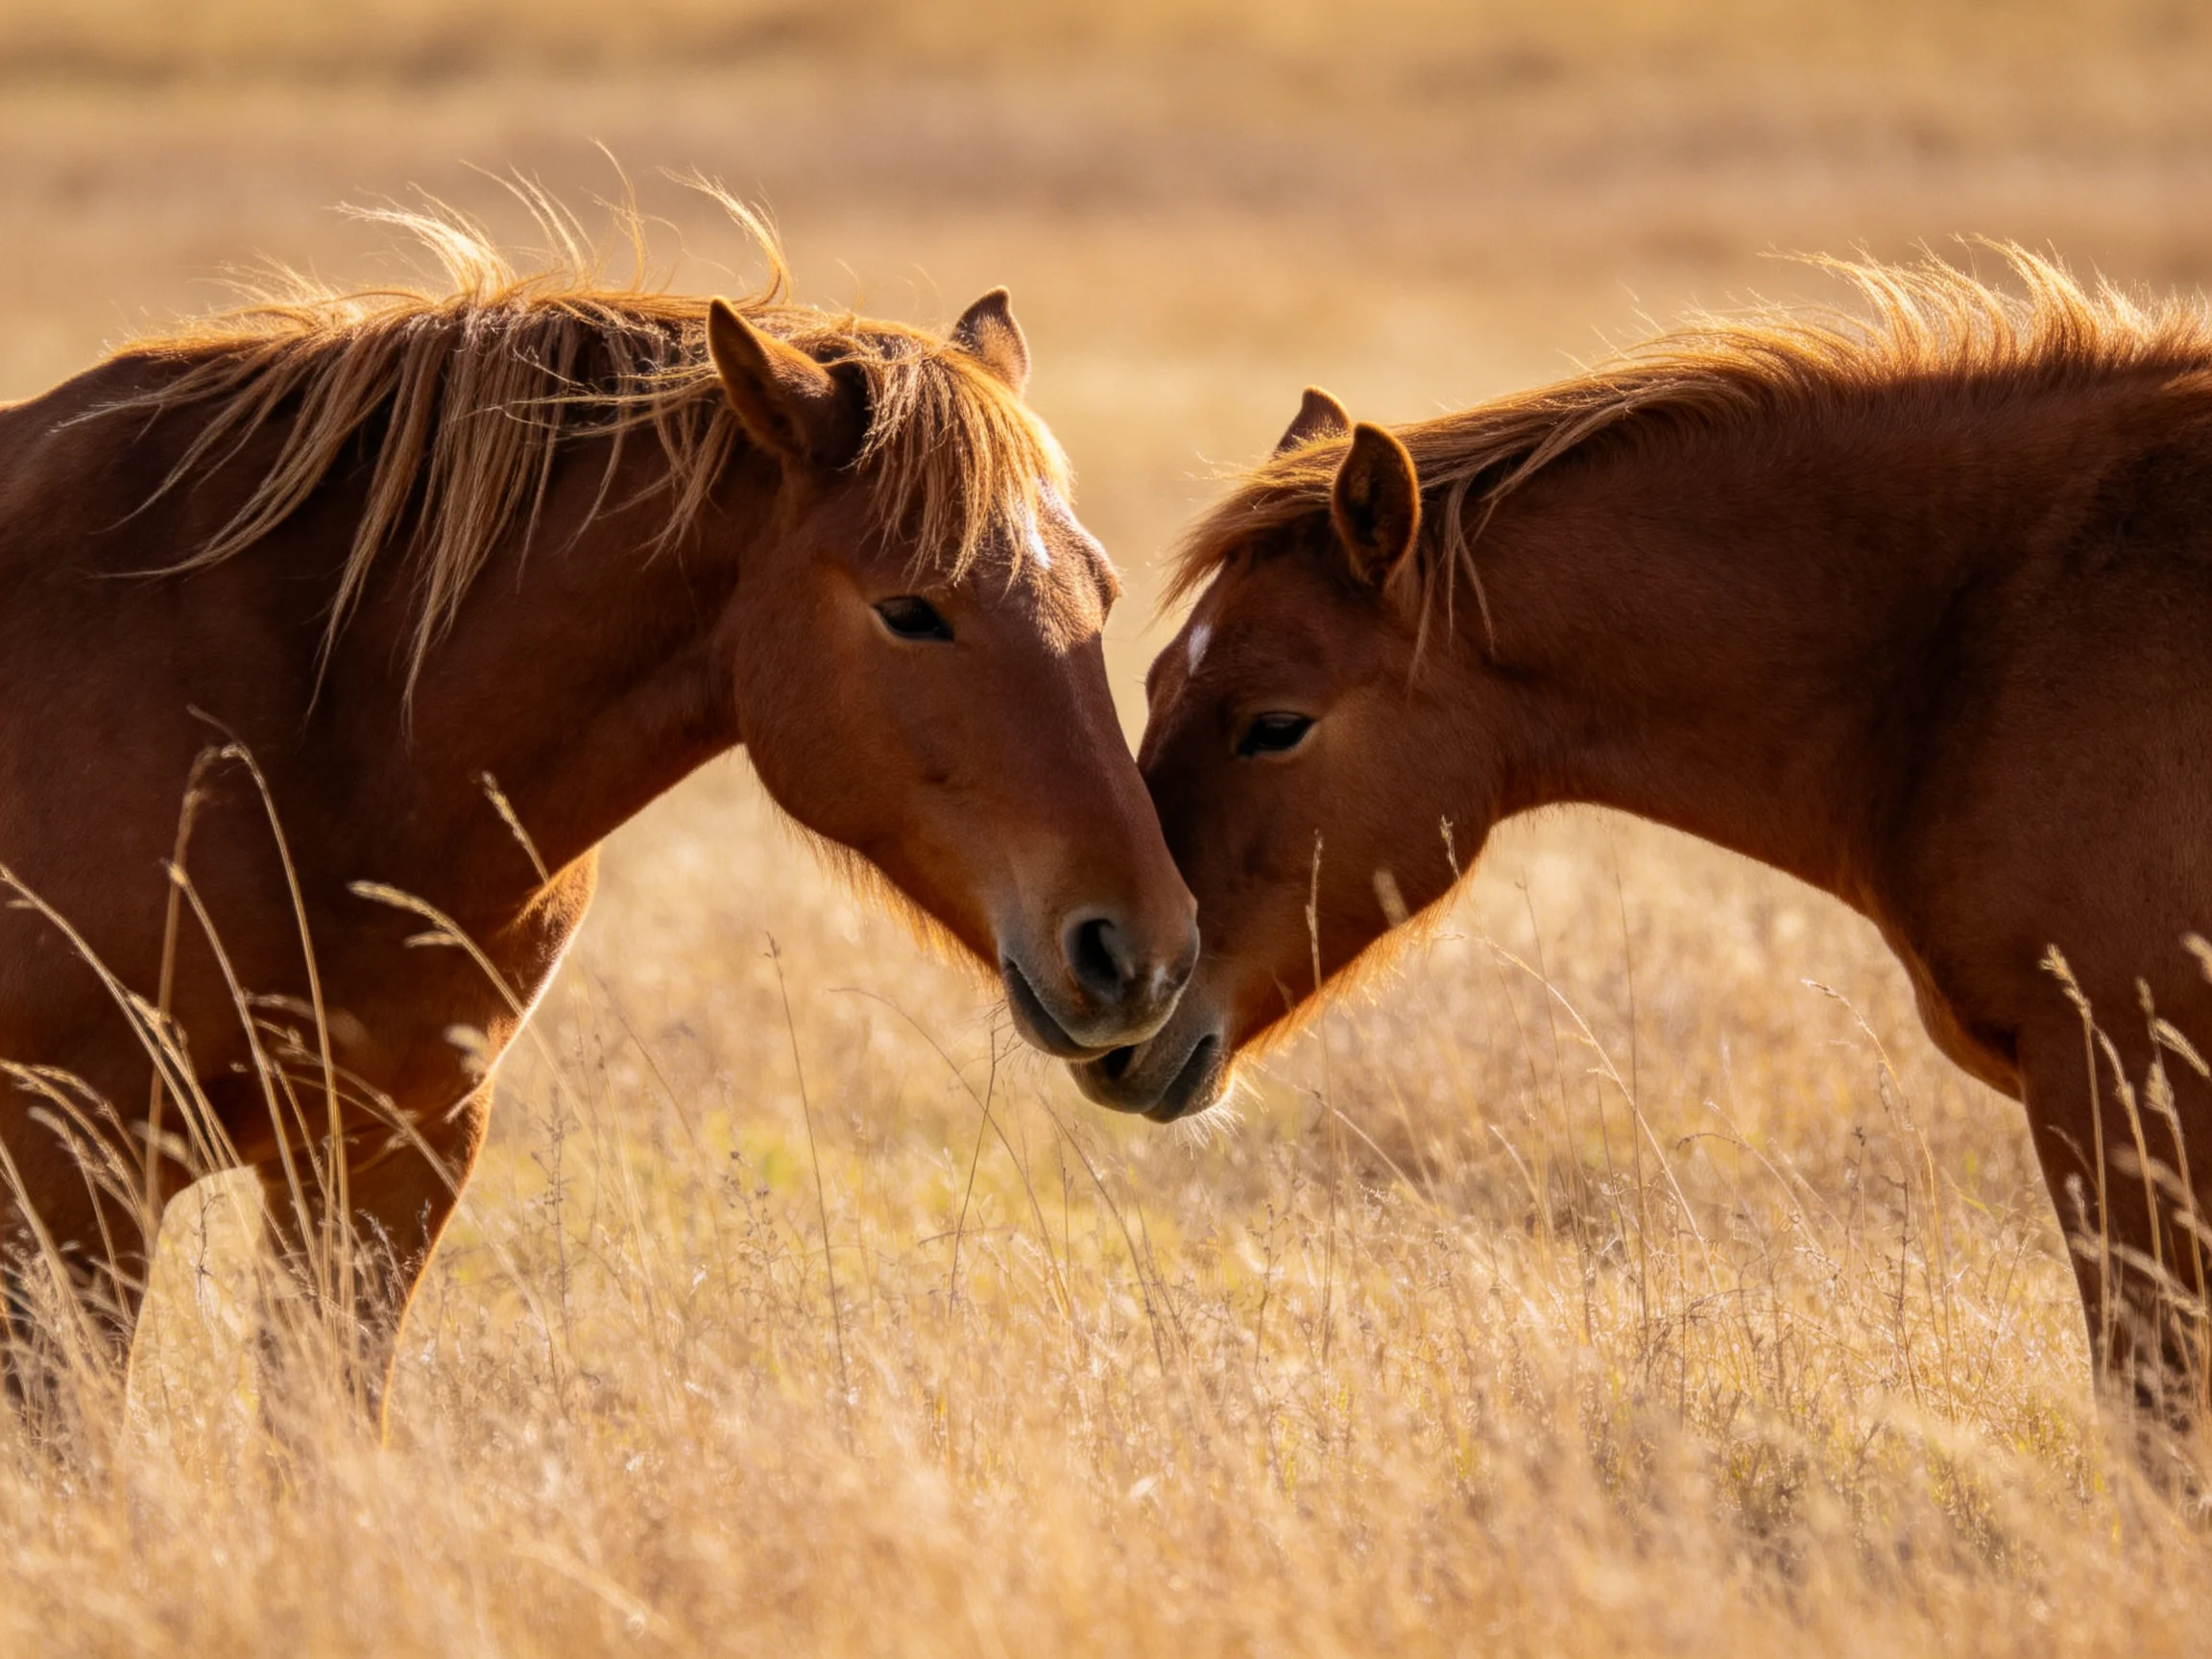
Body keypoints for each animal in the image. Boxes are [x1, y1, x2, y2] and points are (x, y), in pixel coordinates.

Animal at [0, 194, 1196, 1430]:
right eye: (910, 609)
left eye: (1101, 592)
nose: (1139, 952)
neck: (309, 729)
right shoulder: (70, 1171)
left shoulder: (391, 1155)